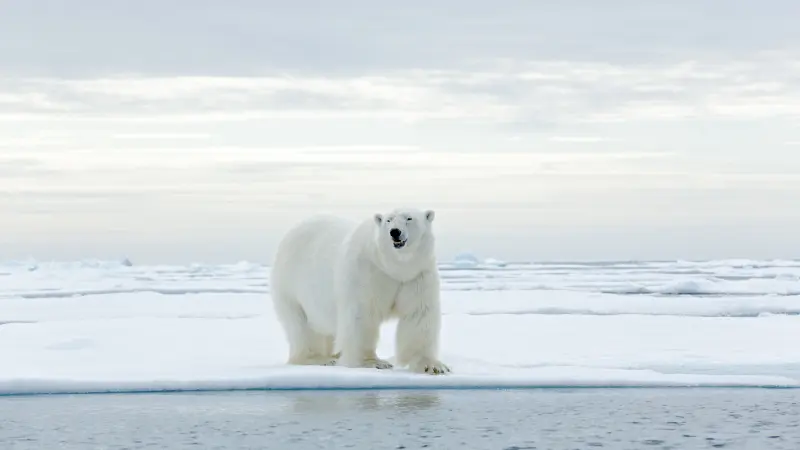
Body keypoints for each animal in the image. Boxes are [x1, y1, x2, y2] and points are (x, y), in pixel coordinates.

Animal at [269, 207, 450, 375]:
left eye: (409, 218)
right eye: (388, 220)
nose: (395, 232)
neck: (394, 267)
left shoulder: (417, 275)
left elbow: (419, 314)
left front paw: (432, 365)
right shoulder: (366, 271)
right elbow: (362, 314)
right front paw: (372, 362)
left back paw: (333, 355)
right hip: (291, 285)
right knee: (301, 325)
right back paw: (318, 358)